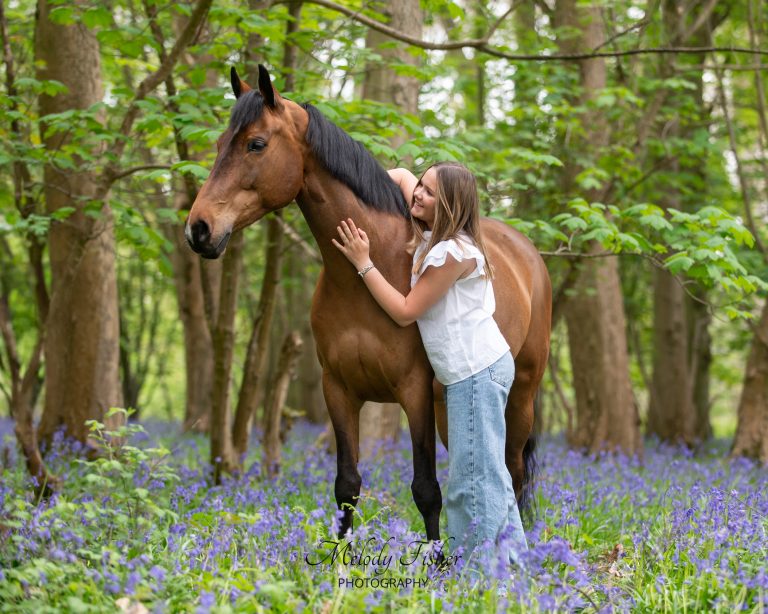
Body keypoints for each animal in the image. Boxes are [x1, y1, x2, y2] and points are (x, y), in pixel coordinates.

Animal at [185, 65, 552, 543]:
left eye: (256, 144)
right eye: (217, 146)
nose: (199, 229)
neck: (370, 269)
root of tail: (526, 251)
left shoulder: (414, 392)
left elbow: (426, 489)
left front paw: (435, 562)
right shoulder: (339, 390)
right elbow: (347, 486)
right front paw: (339, 558)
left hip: (519, 395)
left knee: (511, 472)